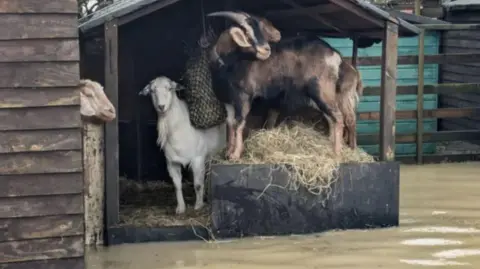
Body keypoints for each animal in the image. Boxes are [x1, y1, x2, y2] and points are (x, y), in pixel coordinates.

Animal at [139, 76, 225, 214]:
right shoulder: (172, 163)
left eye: (170, 88)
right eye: (152, 91)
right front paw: (180, 208)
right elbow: (177, 185)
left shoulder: (198, 159)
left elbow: (198, 184)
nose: (161, 106)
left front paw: (198, 206)